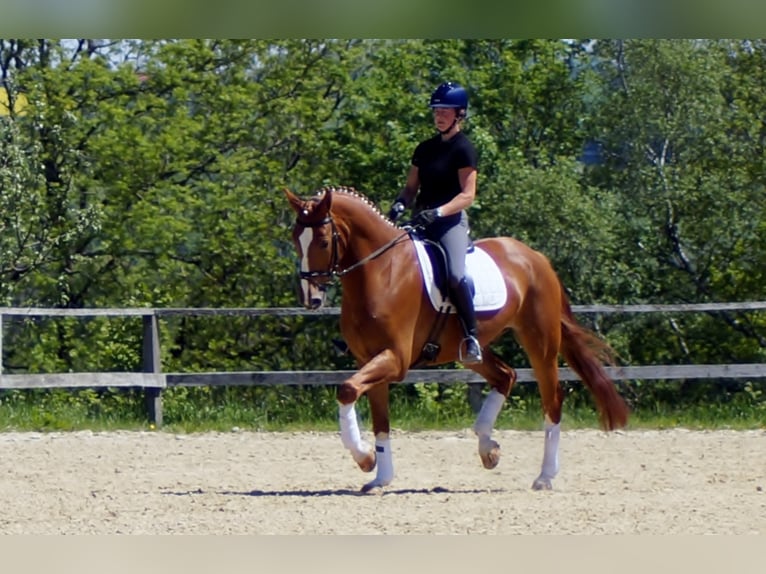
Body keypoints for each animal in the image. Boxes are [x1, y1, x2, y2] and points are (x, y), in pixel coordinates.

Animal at [284, 187, 632, 492]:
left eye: (323, 241)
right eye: (294, 239)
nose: (310, 298)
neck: (382, 271)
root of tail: (535, 257)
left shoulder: (394, 359)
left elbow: (345, 389)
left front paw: (365, 458)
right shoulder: (369, 359)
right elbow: (377, 417)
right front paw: (379, 475)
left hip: (541, 343)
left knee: (552, 400)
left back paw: (544, 477)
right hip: (465, 350)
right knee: (505, 375)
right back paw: (488, 448)